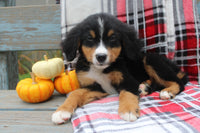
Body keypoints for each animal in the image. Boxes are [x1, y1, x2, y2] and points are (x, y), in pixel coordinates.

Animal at [51, 13, 188, 124]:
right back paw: (144, 87)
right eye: (89, 38)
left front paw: (128, 110)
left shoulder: (128, 81)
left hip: (151, 59)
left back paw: (167, 91)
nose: (101, 57)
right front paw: (62, 111)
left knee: (179, 82)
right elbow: (75, 93)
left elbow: (126, 93)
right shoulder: (95, 87)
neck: (101, 70)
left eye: (113, 38)